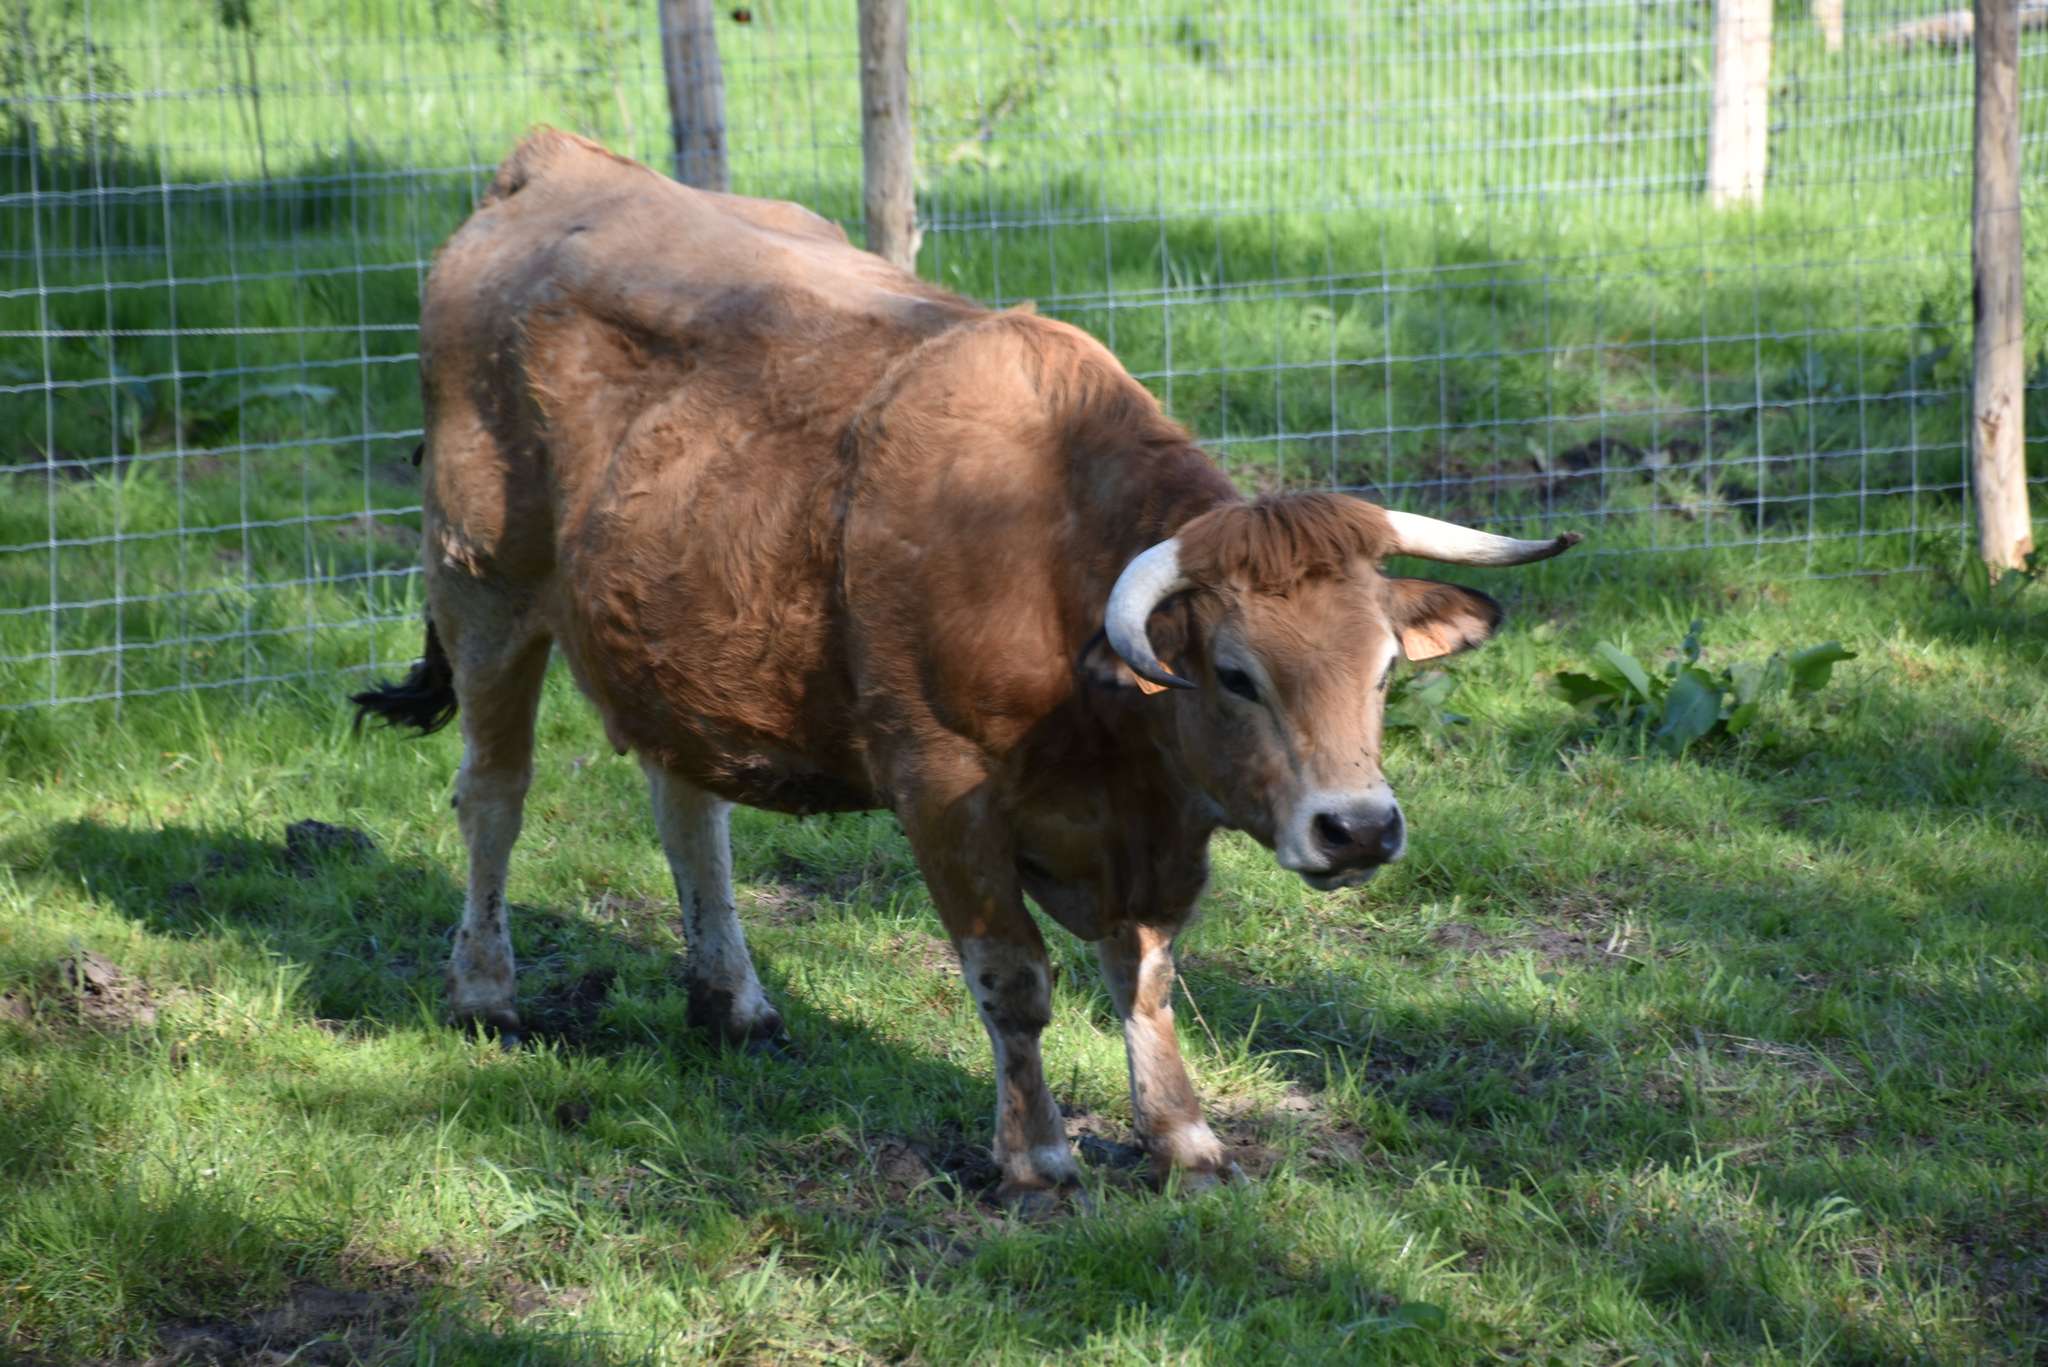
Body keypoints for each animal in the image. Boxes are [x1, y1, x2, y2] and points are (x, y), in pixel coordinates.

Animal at [353, 129, 1579, 1202]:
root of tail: (555, 161)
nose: (1358, 828)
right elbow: (1014, 980)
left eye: (1382, 669)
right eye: (1236, 673)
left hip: (666, 644)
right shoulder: (942, 792)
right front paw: (1035, 1157)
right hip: (481, 586)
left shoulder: (1151, 841)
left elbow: (1144, 978)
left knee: (688, 811)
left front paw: (1182, 1136)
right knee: (494, 792)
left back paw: (733, 1001)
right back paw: (486, 991)